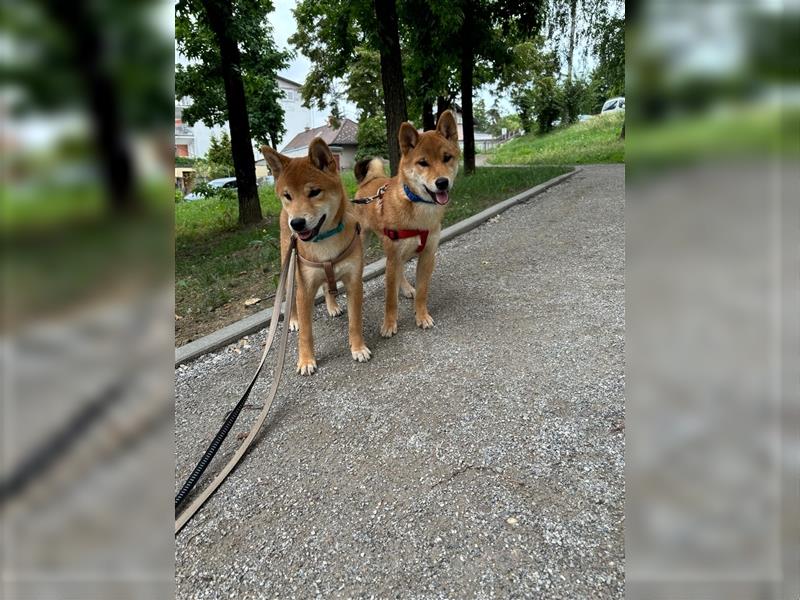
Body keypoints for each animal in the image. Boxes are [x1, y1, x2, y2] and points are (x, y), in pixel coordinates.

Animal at [262, 139, 376, 376]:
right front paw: (306, 360)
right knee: (290, 299)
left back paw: (332, 306)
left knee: (326, 285)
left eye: (314, 192)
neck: (325, 240)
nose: (296, 223)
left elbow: (355, 322)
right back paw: (293, 320)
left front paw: (358, 348)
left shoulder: (354, 282)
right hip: (289, 267)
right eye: (288, 195)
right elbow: (306, 332)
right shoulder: (304, 288)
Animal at [354, 111, 460, 338]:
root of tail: (370, 180)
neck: (418, 208)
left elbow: (422, 292)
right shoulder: (393, 256)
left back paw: (406, 288)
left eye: (447, 158)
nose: (442, 182)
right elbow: (389, 300)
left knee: (401, 270)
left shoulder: (427, 255)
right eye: (423, 163)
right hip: (366, 242)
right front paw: (389, 324)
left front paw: (421, 315)